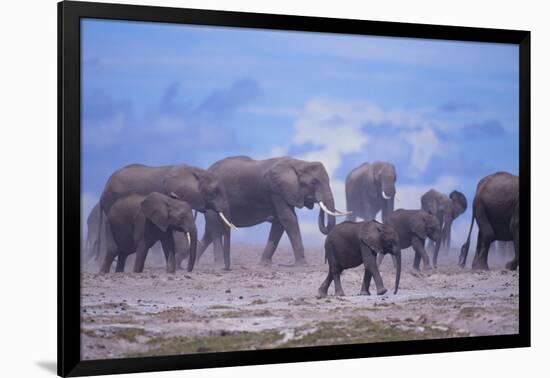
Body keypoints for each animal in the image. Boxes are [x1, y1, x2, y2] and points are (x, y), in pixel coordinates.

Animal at [196, 156, 348, 268]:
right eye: (313, 182)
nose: (317, 202)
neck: (298, 163)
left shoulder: (284, 192)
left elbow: (279, 223)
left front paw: (264, 264)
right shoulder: (276, 190)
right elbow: (288, 218)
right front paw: (303, 265)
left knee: (209, 233)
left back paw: (194, 263)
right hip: (211, 198)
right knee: (215, 229)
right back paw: (218, 265)